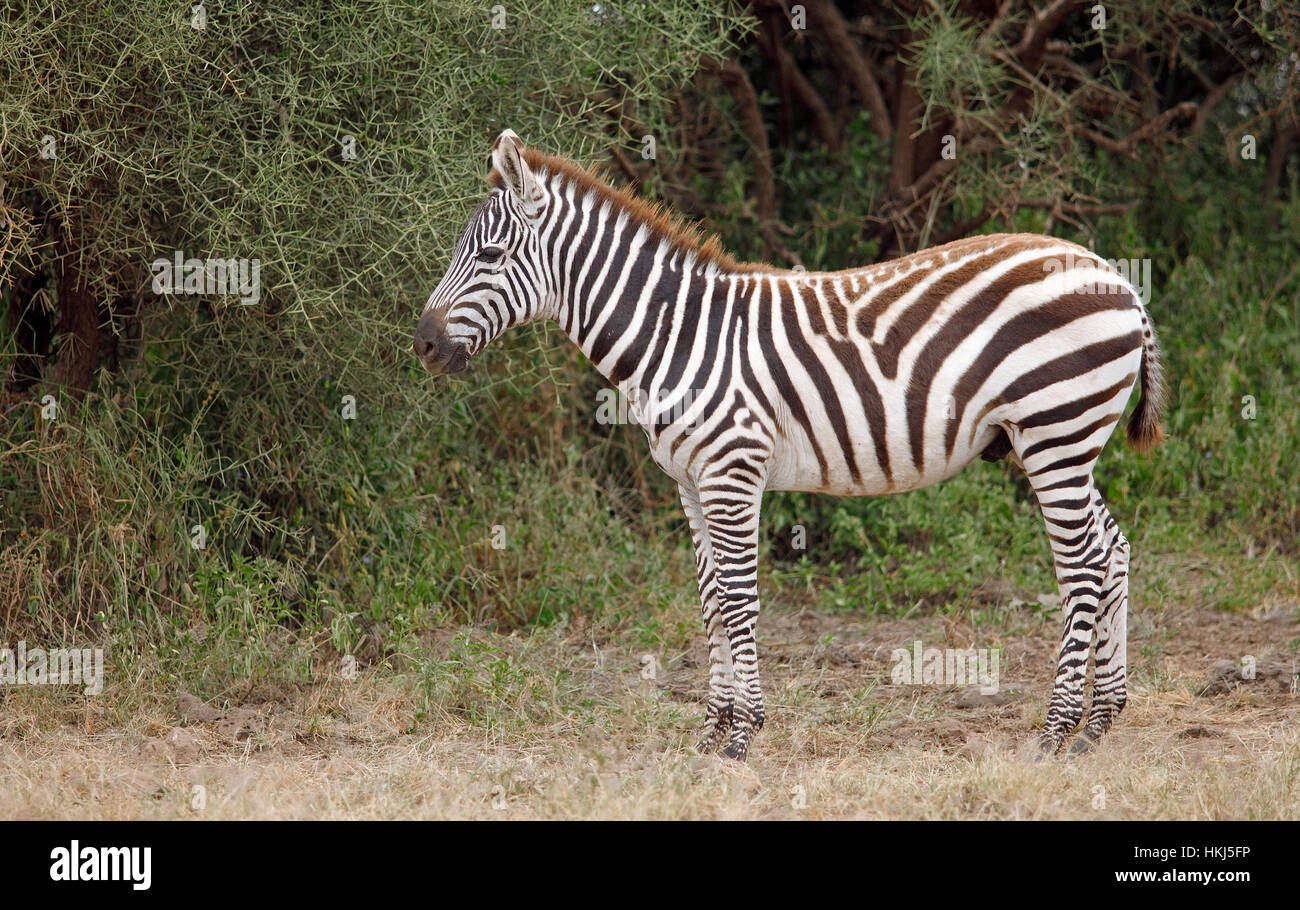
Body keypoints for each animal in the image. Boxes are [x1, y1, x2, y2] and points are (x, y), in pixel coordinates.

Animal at [416, 130, 1170, 759]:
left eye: (488, 255)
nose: (422, 345)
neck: (676, 336)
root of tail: (1118, 277)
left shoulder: (731, 470)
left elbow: (739, 598)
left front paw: (741, 735)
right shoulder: (690, 483)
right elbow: (710, 601)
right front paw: (711, 730)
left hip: (1055, 433)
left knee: (1081, 567)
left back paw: (1055, 731)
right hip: (1064, 442)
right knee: (1112, 549)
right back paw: (1099, 722)